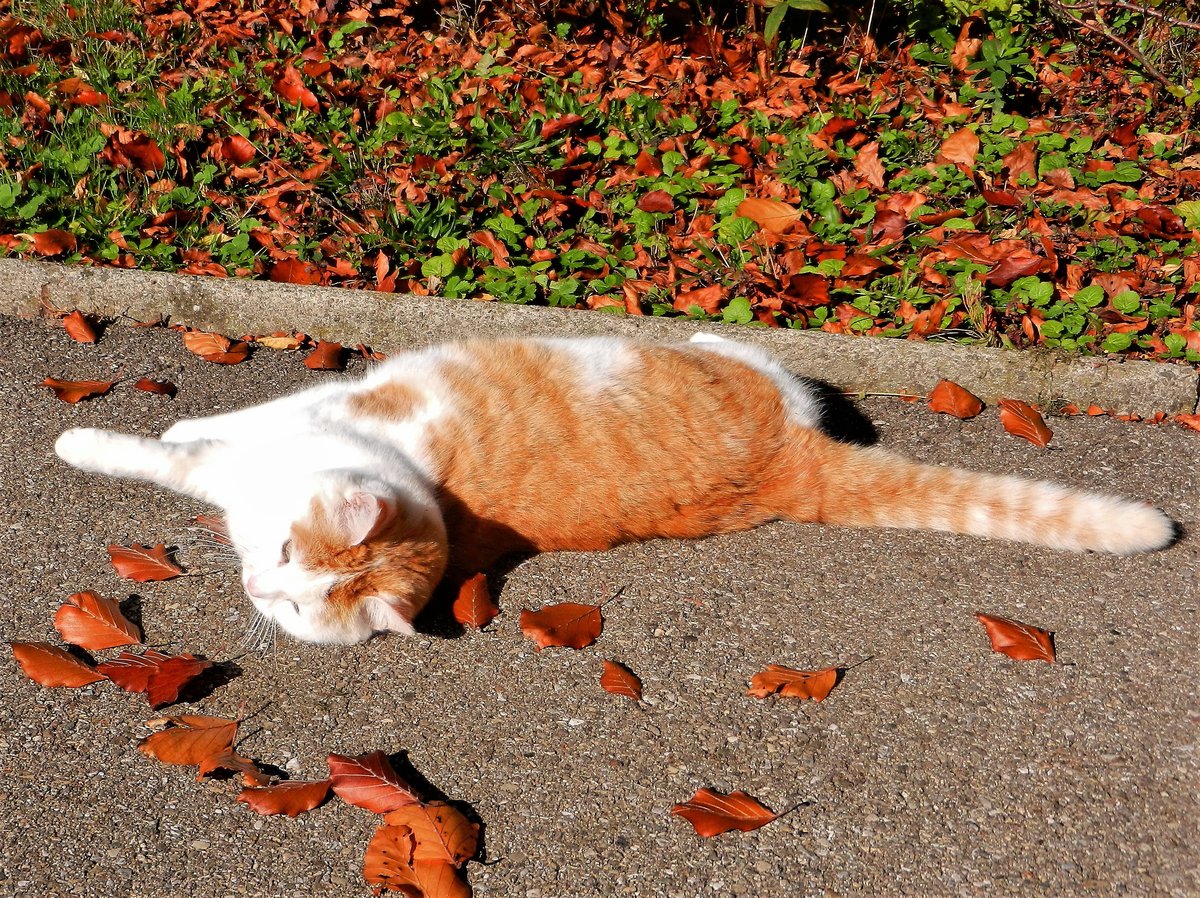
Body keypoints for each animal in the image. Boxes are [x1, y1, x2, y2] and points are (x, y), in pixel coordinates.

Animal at [54, 333, 1171, 643]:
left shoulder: (295, 422)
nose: (261, 590)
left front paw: (95, 439)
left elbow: (176, 449)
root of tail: (789, 469)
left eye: (295, 591)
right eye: (285, 562)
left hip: (737, 379)